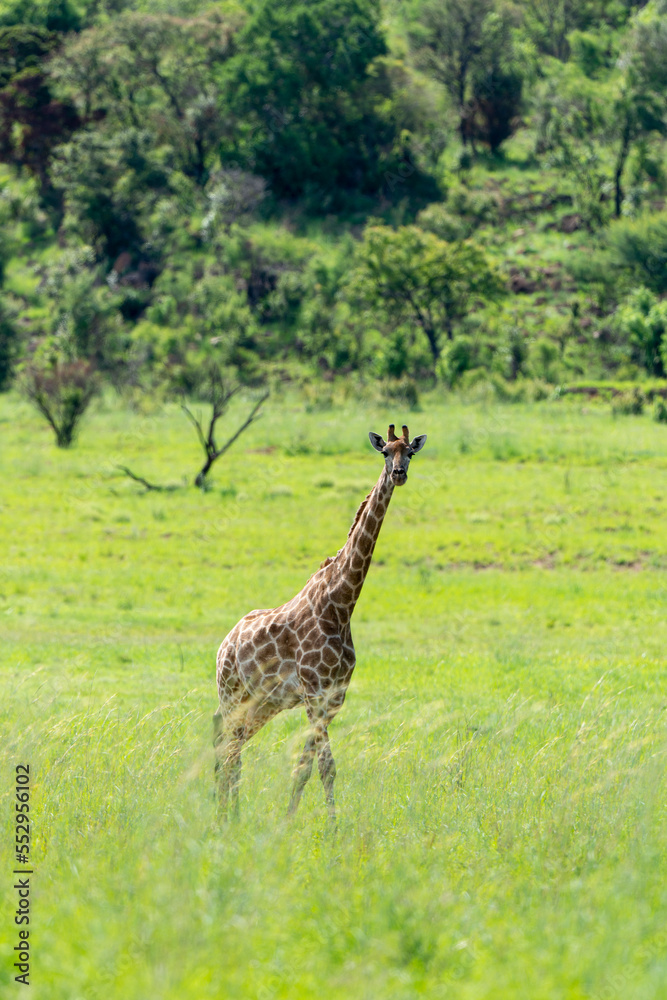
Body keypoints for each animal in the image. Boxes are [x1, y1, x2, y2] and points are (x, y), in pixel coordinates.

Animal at [213, 423, 427, 819]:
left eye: (410, 452)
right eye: (384, 452)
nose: (398, 474)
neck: (341, 604)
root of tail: (224, 645)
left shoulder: (332, 698)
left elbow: (306, 766)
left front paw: (290, 820)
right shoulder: (314, 693)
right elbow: (326, 766)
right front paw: (329, 828)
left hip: (262, 704)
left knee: (233, 748)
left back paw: (229, 815)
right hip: (232, 694)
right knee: (227, 749)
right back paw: (226, 817)